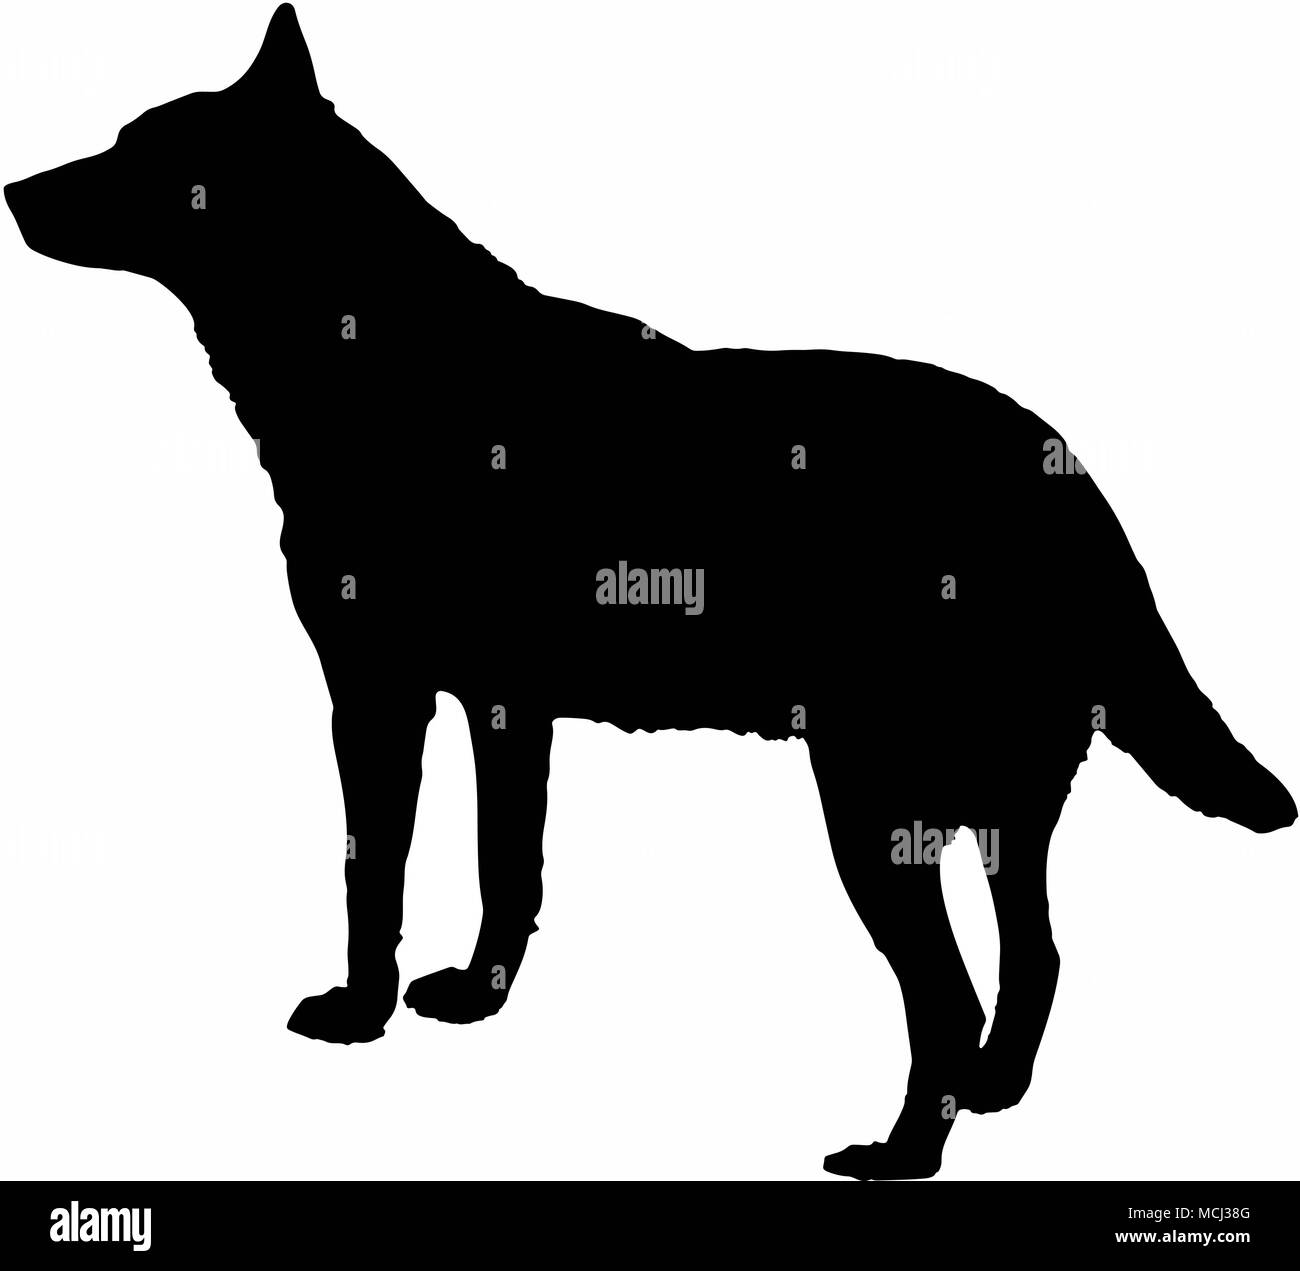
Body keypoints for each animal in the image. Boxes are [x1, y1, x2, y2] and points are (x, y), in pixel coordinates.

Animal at [6, 5, 1295, 1180]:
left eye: (148, 156)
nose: (15, 189)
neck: (380, 355)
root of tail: (1064, 476)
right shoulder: (504, 706)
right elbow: (506, 863)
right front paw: (475, 1000)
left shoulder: (374, 692)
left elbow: (373, 867)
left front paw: (358, 1013)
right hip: (999, 797)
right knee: (1035, 956)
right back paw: (990, 1093)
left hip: (870, 794)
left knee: (949, 988)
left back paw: (900, 1151)